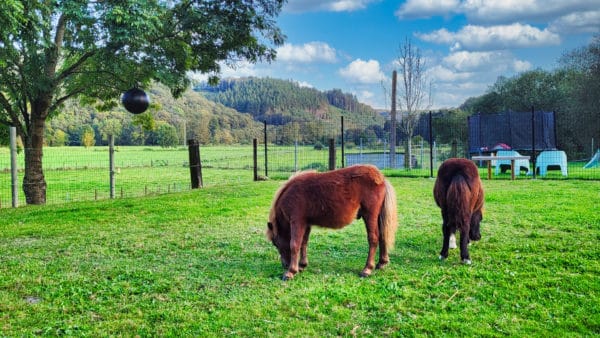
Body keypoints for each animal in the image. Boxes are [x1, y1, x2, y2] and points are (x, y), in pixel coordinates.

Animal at [268, 164, 398, 280]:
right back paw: (382, 263)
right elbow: (303, 243)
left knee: (373, 238)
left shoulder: (297, 221)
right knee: (382, 236)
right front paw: (302, 265)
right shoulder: (306, 223)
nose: (285, 265)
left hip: (370, 215)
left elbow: (294, 245)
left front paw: (291, 272)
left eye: (275, 243)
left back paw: (367, 269)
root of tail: (382, 178)